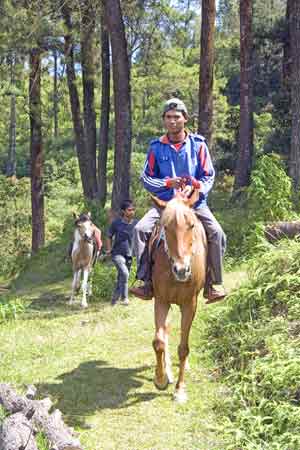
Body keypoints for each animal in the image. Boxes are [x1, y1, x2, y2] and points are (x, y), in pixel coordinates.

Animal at [151, 188, 207, 402]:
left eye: (191, 225)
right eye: (165, 227)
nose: (182, 270)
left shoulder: (189, 304)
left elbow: (184, 348)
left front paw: (180, 389)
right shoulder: (161, 300)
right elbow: (158, 342)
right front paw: (160, 379)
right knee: (165, 330)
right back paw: (167, 371)